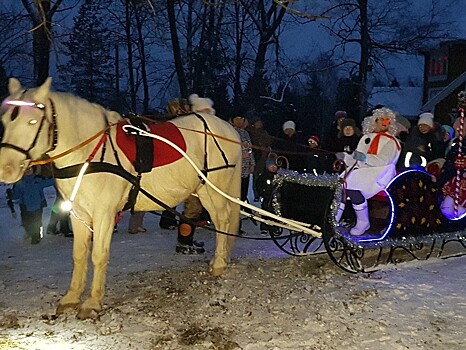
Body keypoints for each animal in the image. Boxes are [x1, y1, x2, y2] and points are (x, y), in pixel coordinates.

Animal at [0, 78, 240, 318]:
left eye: (32, 121)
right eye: (5, 120)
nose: (5, 170)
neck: (89, 153)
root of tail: (227, 128)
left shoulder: (104, 214)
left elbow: (98, 255)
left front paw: (92, 302)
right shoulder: (78, 213)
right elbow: (79, 255)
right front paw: (72, 298)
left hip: (214, 190)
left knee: (223, 221)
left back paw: (219, 263)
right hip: (205, 191)